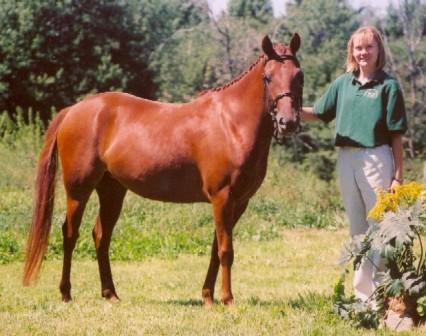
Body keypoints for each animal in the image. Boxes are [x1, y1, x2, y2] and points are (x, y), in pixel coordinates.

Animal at [22, 33, 302, 304]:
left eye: (299, 75)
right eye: (268, 77)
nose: (287, 122)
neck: (231, 123)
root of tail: (73, 110)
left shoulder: (239, 202)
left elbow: (215, 248)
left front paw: (208, 296)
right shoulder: (222, 197)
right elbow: (226, 250)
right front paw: (227, 299)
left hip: (112, 191)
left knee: (101, 235)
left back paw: (110, 294)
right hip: (78, 190)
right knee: (70, 234)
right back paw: (66, 293)